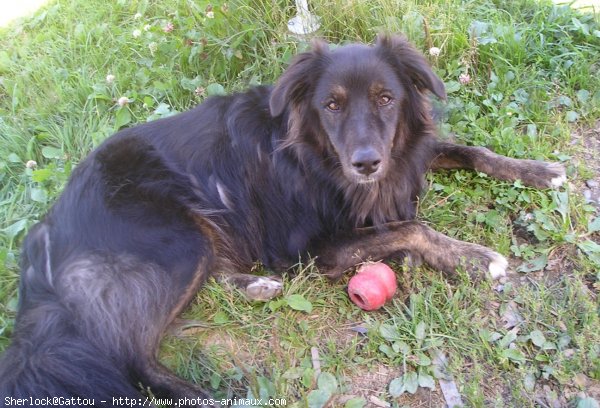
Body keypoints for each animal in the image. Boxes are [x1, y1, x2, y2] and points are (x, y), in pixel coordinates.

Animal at [0, 34, 564, 404]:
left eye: (387, 99)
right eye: (331, 105)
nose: (366, 162)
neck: (317, 156)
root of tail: (43, 230)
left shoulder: (406, 157)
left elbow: (470, 150)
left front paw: (538, 170)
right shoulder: (318, 249)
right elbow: (413, 227)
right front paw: (476, 256)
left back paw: (255, 286)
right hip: (178, 238)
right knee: (129, 357)